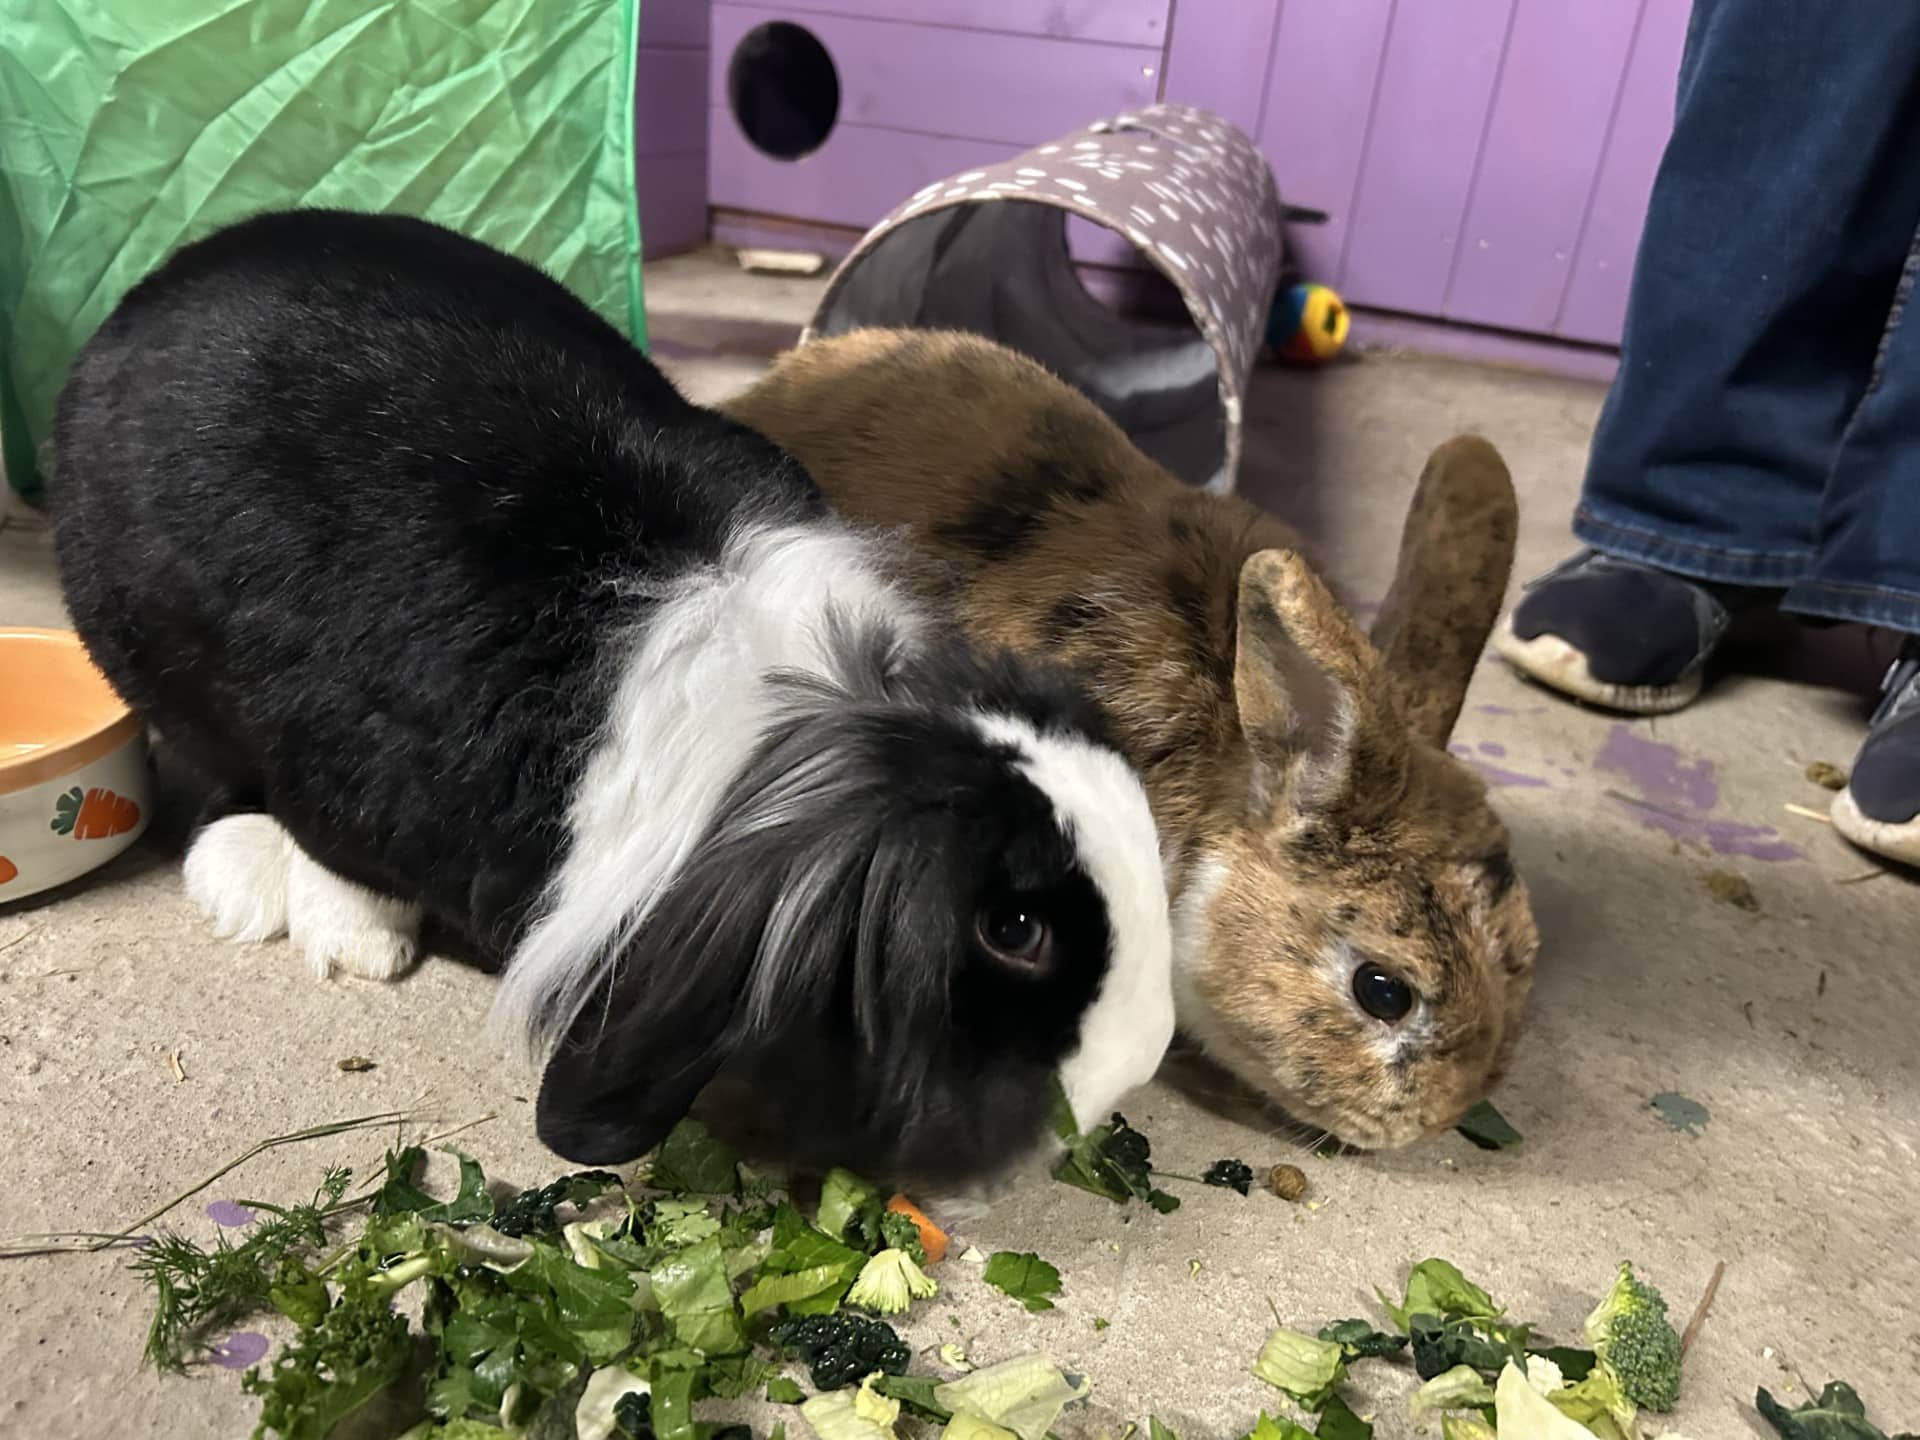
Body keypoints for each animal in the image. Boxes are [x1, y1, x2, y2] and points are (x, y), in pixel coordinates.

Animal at [49, 212, 1175, 1184]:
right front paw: (363, 946)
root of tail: (173, 276)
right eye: (1013, 930)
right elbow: (342, 855)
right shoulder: (340, 783)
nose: (1143, 1060)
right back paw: (249, 880)